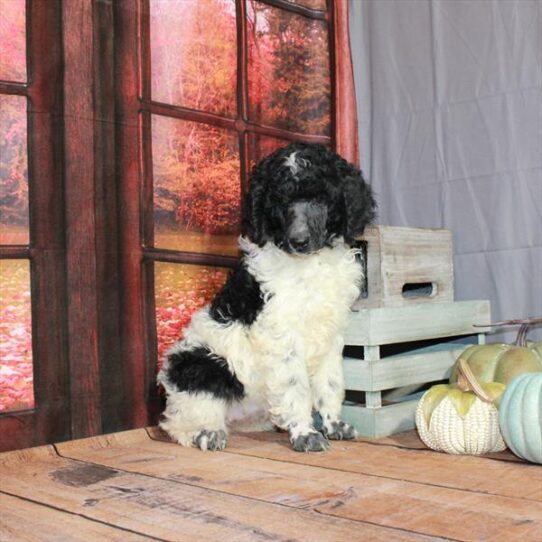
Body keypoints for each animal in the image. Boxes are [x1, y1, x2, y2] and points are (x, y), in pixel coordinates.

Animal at [159, 142, 376, 452]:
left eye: (320, 199)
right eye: (280, 203)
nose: (298, 241)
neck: (310, 264)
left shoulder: (331, 333)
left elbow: (330, 383)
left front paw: (334, 424)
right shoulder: (281, 335)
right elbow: (296, 387)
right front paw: (305, 434)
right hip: (200, 362)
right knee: (179, 419)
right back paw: (206, 432)